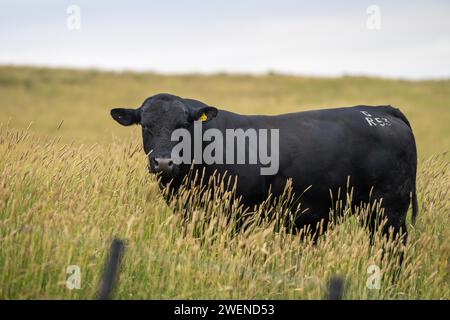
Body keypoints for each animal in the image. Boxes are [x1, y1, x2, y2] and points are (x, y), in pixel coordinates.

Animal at [110, 92, 418, 242]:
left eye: (184, 125)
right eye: (145, 126)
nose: (164, 162)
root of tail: (379, 111)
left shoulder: (236, 214)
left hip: (389, 208)